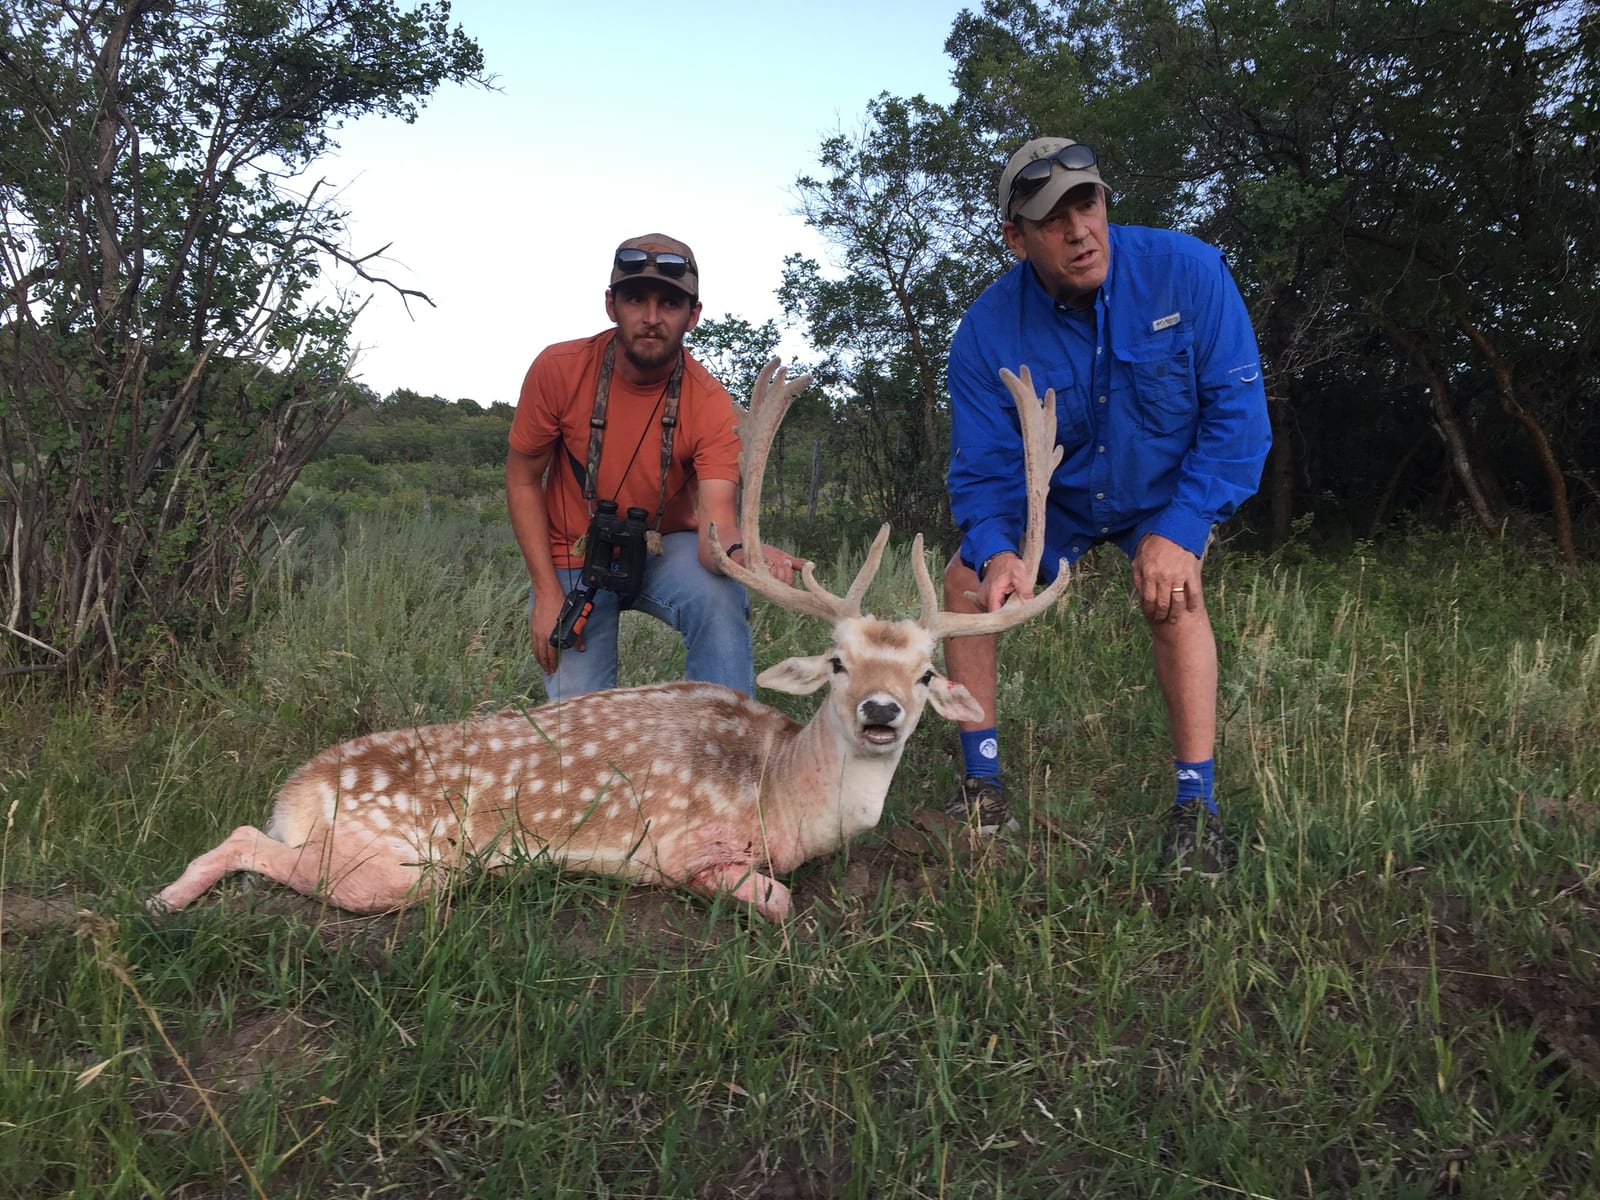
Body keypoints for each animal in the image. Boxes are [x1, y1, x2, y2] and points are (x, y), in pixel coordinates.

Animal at [153, 360, 1070, 922]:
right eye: (840, 663)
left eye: (925, 675)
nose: (880, 712)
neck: (783, 795)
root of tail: (295, 791)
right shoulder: (688, 845)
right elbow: (777, 902)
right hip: (396, 867)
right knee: (246, 841)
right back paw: (160, 902)